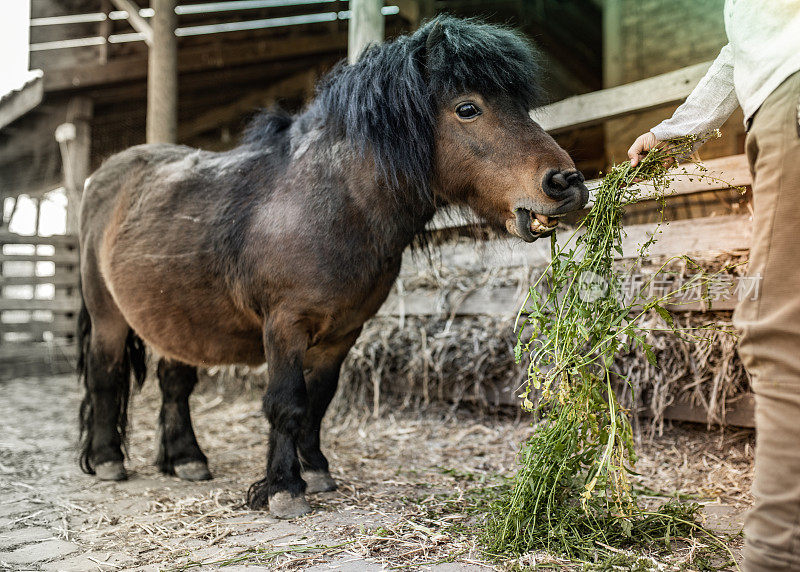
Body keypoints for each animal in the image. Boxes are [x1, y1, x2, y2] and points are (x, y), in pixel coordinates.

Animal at [76, 16, 588, 520]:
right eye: (468, 108)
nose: (566, 183)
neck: (330, 206)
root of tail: (99, 178)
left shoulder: (342, 333)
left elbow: (317, 402)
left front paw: (317, 471)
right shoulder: (285, 326)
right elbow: (286, 404)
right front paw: (284, 489)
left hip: (178, 321)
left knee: (175, 384)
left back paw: (186, 459)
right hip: (108, 317)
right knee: (105, 376)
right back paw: (108, 460)